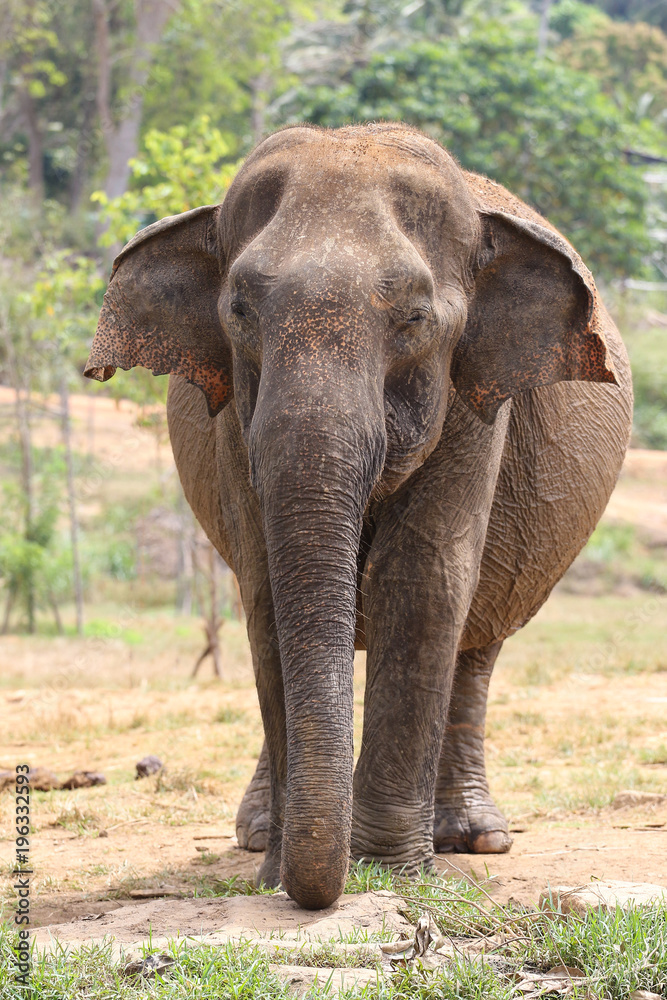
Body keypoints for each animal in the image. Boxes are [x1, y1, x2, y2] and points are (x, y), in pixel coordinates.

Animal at [85, 123, 632, 910]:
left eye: (414, 319)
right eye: (238, 312)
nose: (311, 889)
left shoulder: (473, 400)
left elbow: (422, 581)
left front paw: (389, 873)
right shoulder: (233, 419)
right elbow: (265, 591)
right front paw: (283, 873)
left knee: (477, 643)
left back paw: (473, 839)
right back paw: (259, 834)